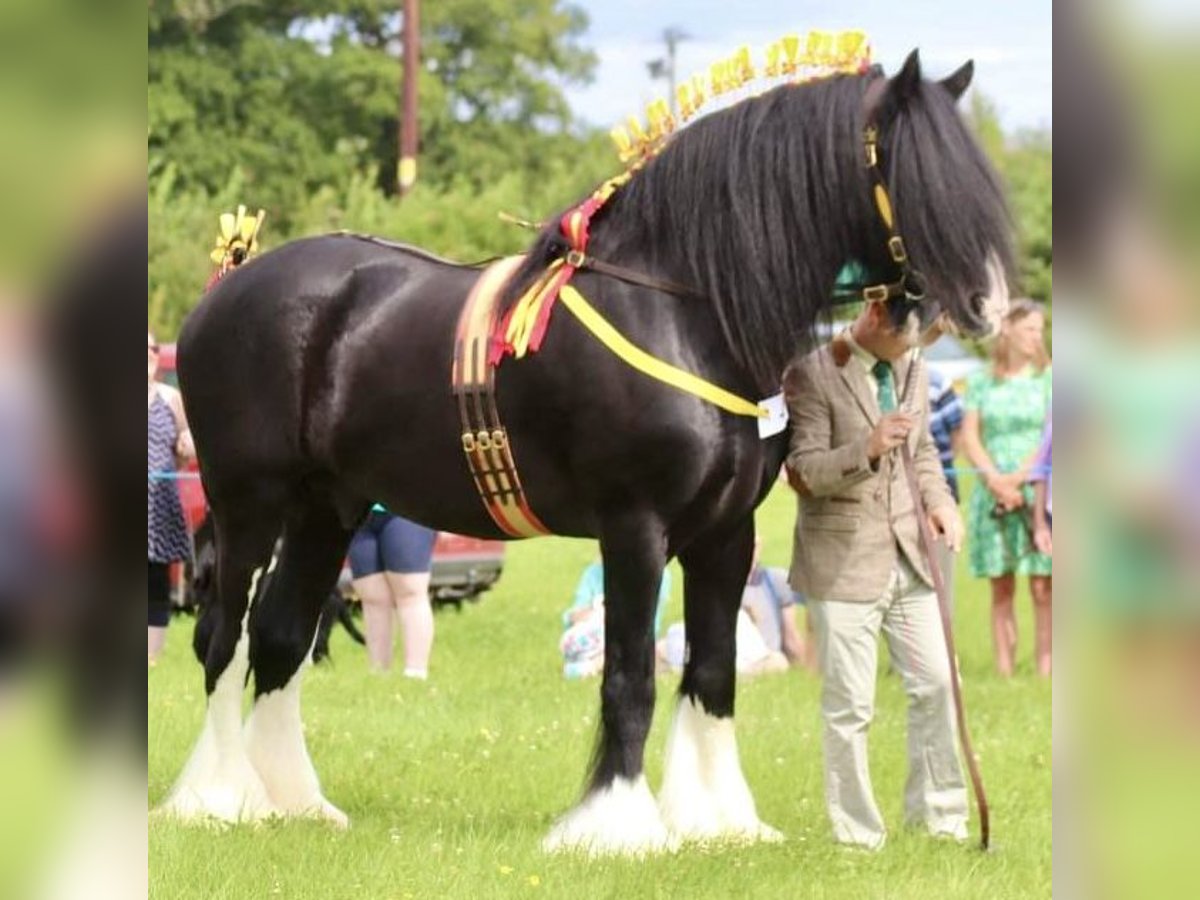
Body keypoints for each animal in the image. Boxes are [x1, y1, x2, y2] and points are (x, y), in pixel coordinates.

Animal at [159, 50, 1013, 855]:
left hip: (324, 508)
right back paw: (218, 800)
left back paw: (292, 803)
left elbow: (712, 671)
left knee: (279, 637)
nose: (990, 307)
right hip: (248, 504)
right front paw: (618, 826)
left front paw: (719, 822)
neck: (677, 308)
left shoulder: (725, 535)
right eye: (916, 172)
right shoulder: (635, 528)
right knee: (224, 637)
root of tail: (225, 290)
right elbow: (630, 676)